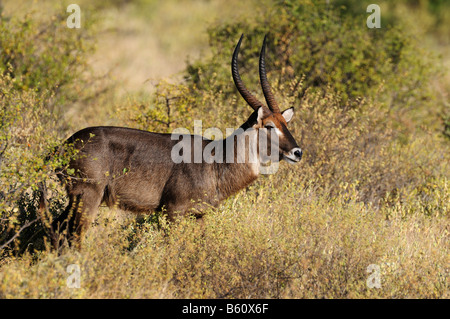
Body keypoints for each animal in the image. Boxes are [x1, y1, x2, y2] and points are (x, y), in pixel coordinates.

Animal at [41, 36, 302, 249]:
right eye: (269, 126)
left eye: (285, 123)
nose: (297, 152)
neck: (215, 160)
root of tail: (63, 146)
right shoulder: (173, 212)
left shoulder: (199, 216)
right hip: (87, 197)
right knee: (73, 236)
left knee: (56, 229)